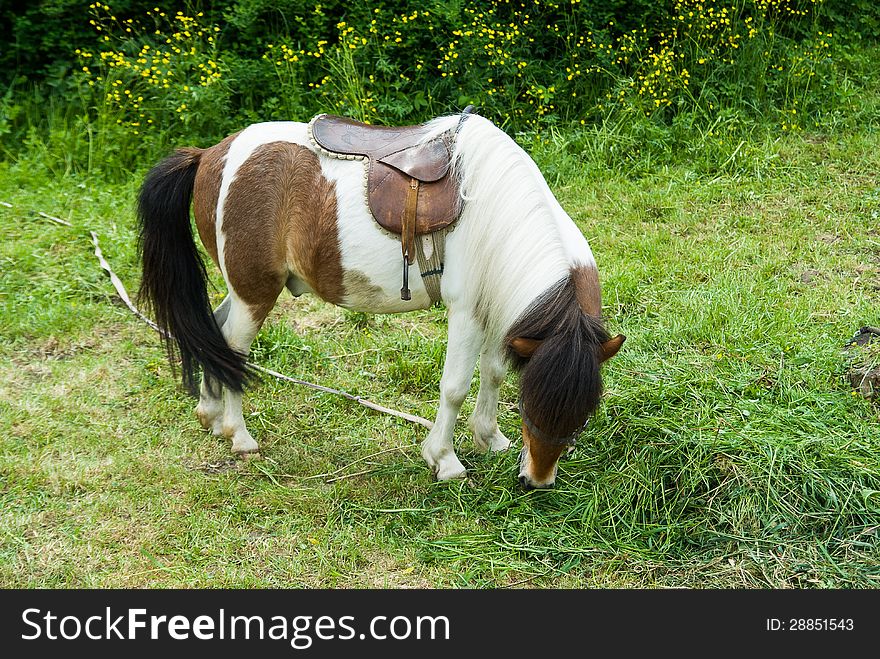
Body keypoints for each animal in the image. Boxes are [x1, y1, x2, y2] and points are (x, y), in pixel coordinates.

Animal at [138, 109, 624, 490]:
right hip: (255, 293)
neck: (498, 215)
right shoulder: (467, 314)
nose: (537, 481)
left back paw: (210, 414)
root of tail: (208, 155)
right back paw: (238, 435)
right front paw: (444, 460)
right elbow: (454, 388)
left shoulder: (496, 312)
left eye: (584, 414)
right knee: (233, 350)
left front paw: (491, 438)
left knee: (215, 336)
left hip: (241, 293)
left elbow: (494, 373)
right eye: (531, 405)